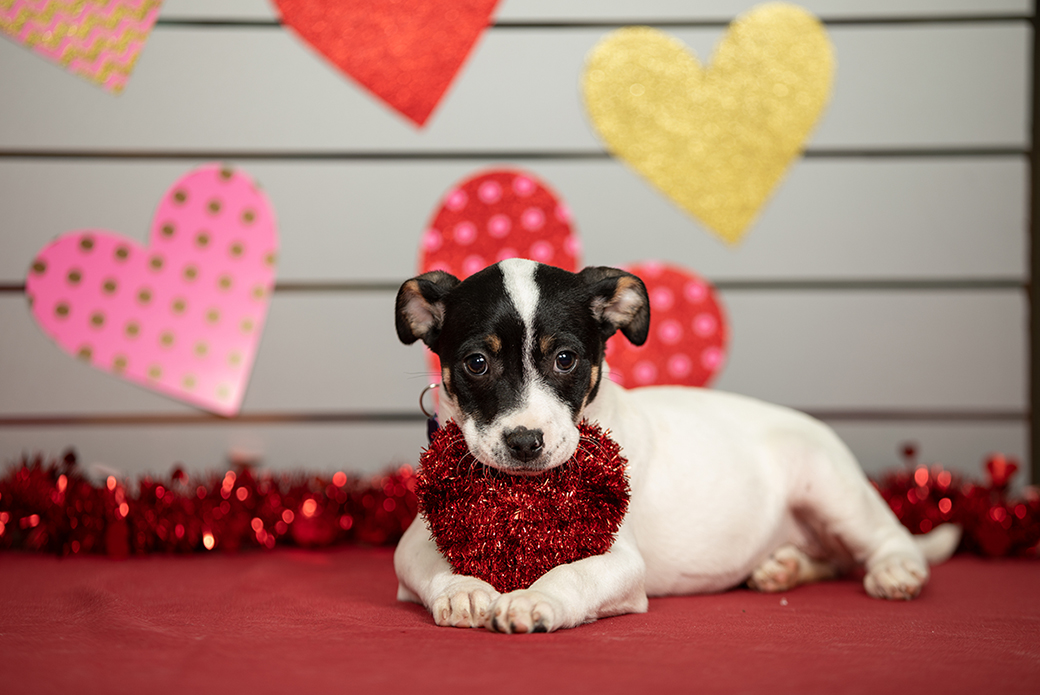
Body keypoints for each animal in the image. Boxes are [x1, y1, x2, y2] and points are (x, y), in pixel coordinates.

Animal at [393, 259, 960, 636]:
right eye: (477, 363)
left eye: (565, 359)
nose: (525, 442)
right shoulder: (415, 541)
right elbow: (432, 563)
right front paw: (465, 589)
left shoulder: (619, 559)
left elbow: (571, 573)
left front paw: (536, 600)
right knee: (836, 560)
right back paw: (784, 567)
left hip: (832, 490)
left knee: (888, 539)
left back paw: (895, 570)